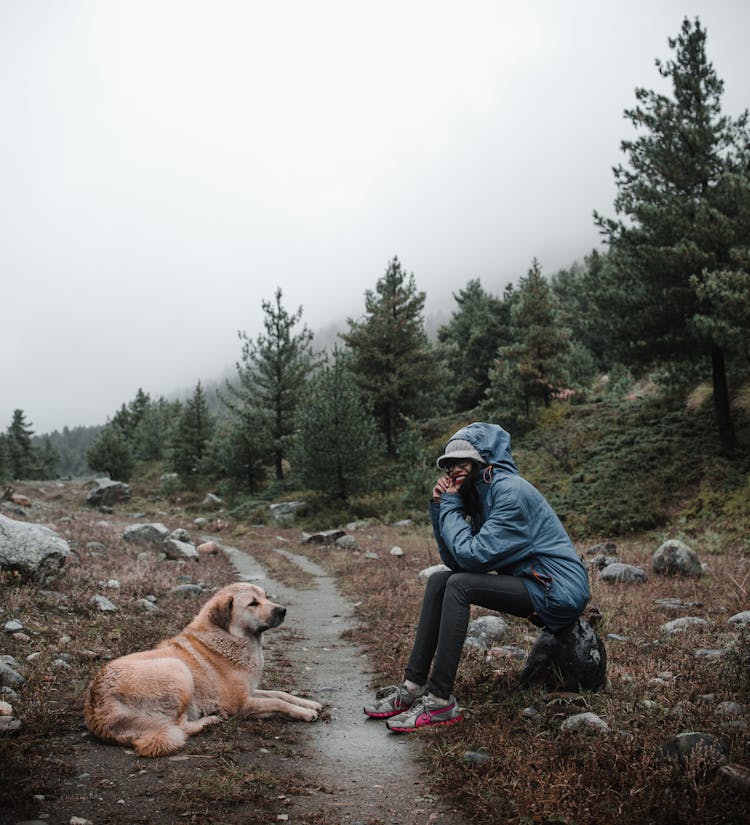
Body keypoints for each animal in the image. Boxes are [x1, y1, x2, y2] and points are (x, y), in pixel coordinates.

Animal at [83, 580, 324, 752]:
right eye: (253, 603)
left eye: (266, 597)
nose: (283, 610)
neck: (231, 637)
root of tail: (98, 710)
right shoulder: (240, 705)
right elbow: (277, 701)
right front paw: (304, 712)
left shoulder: (251, 691)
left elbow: (280, 693)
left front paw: (309, 703)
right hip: (178, 670)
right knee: (180, 727)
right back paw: (209, 721)